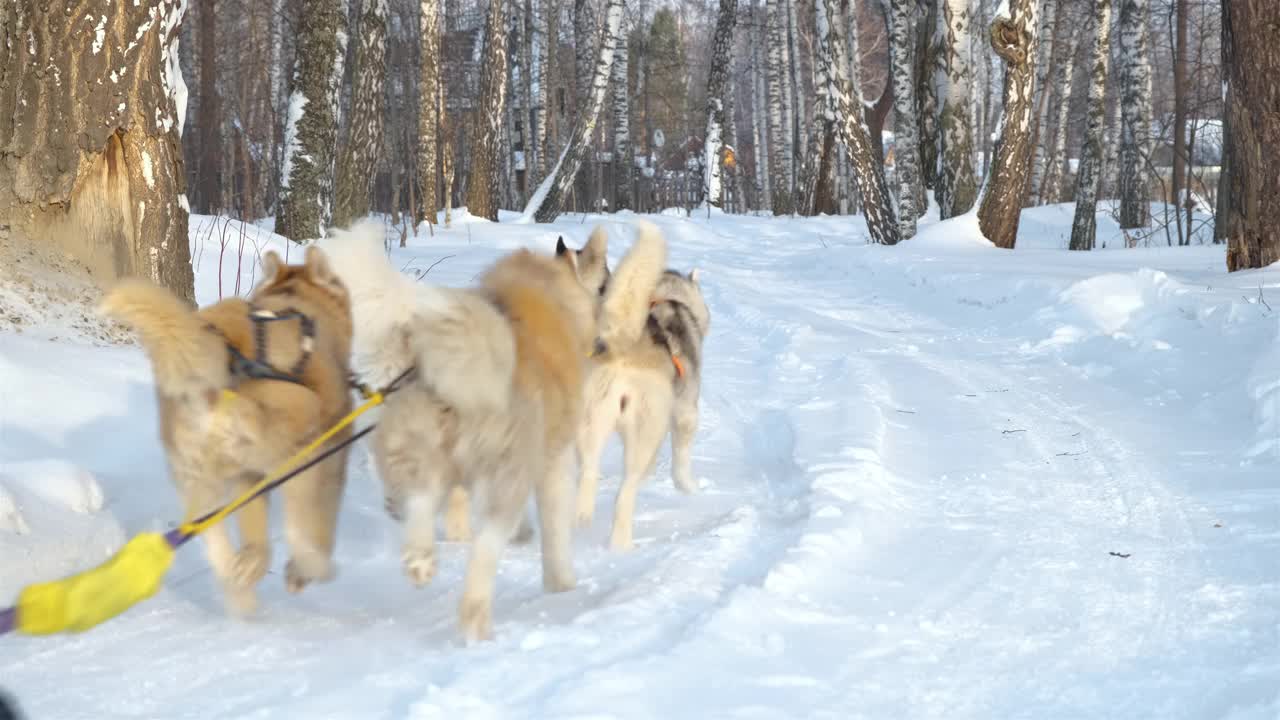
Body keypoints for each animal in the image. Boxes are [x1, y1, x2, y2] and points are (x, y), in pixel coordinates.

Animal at [99, 244, 355, 609]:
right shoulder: (333, 455)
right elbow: (324, 520)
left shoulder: (249, 478)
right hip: (299, 451)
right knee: (299, 529)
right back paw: (308, 568)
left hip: (204, 481)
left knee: (216, 543)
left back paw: (243, 593)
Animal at [320, 219, 599, 638]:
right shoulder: (553, 461)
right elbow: (555, 530)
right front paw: (561, 583)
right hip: (503, 474)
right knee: (485, 548)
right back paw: (474, 618)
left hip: (415, 451)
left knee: (420, 500)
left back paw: (420, 559)